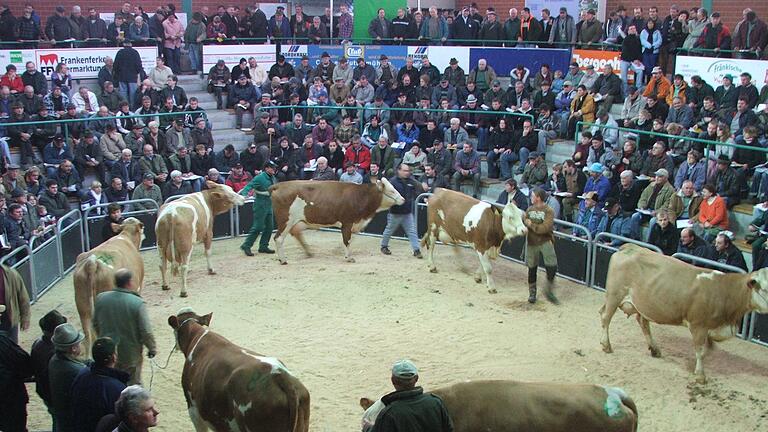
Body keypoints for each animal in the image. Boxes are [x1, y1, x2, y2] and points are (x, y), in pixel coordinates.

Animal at [270, 179, 404, 264]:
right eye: (392, 191)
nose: (403, 199)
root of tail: (279, 185)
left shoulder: (354, 225)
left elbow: (349, 240)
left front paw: (342, 251)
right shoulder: (347, 222)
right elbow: (347, 240)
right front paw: (348, 258)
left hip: (299, 221)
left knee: (296, 233)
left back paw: (307, 253)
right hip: (286, 221)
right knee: (278, 238)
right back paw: (283, 260)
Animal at [600, 245, 768, 384]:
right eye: (765, 288)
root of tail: (630, 247)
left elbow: (707, 348)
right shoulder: (698, 325)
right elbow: (700, 350)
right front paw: (700, 375)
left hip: (643, 304)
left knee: (642, 322)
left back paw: (654, 349)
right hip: (614, 295)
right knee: (605, 317)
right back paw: (606, 345)